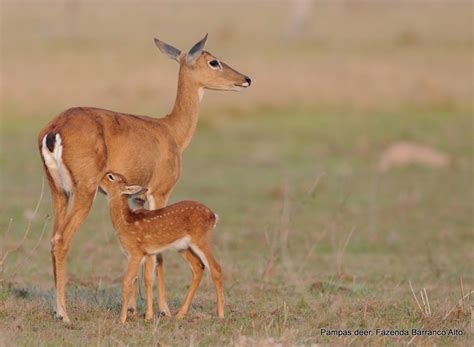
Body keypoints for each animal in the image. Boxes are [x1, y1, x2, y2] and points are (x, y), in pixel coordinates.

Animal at [101, 173, 223, 324]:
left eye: (110, 176)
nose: (99, 180)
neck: (125, 222)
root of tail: (213, 216)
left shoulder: (135, 252)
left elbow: (127, 281)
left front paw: (122, 319)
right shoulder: (146, 253)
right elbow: (142, 278)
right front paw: (144, 315)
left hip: (201, 240)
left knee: (216, 268)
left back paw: (220, 314)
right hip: (183, 247)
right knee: (198, 267)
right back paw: (180, 314)